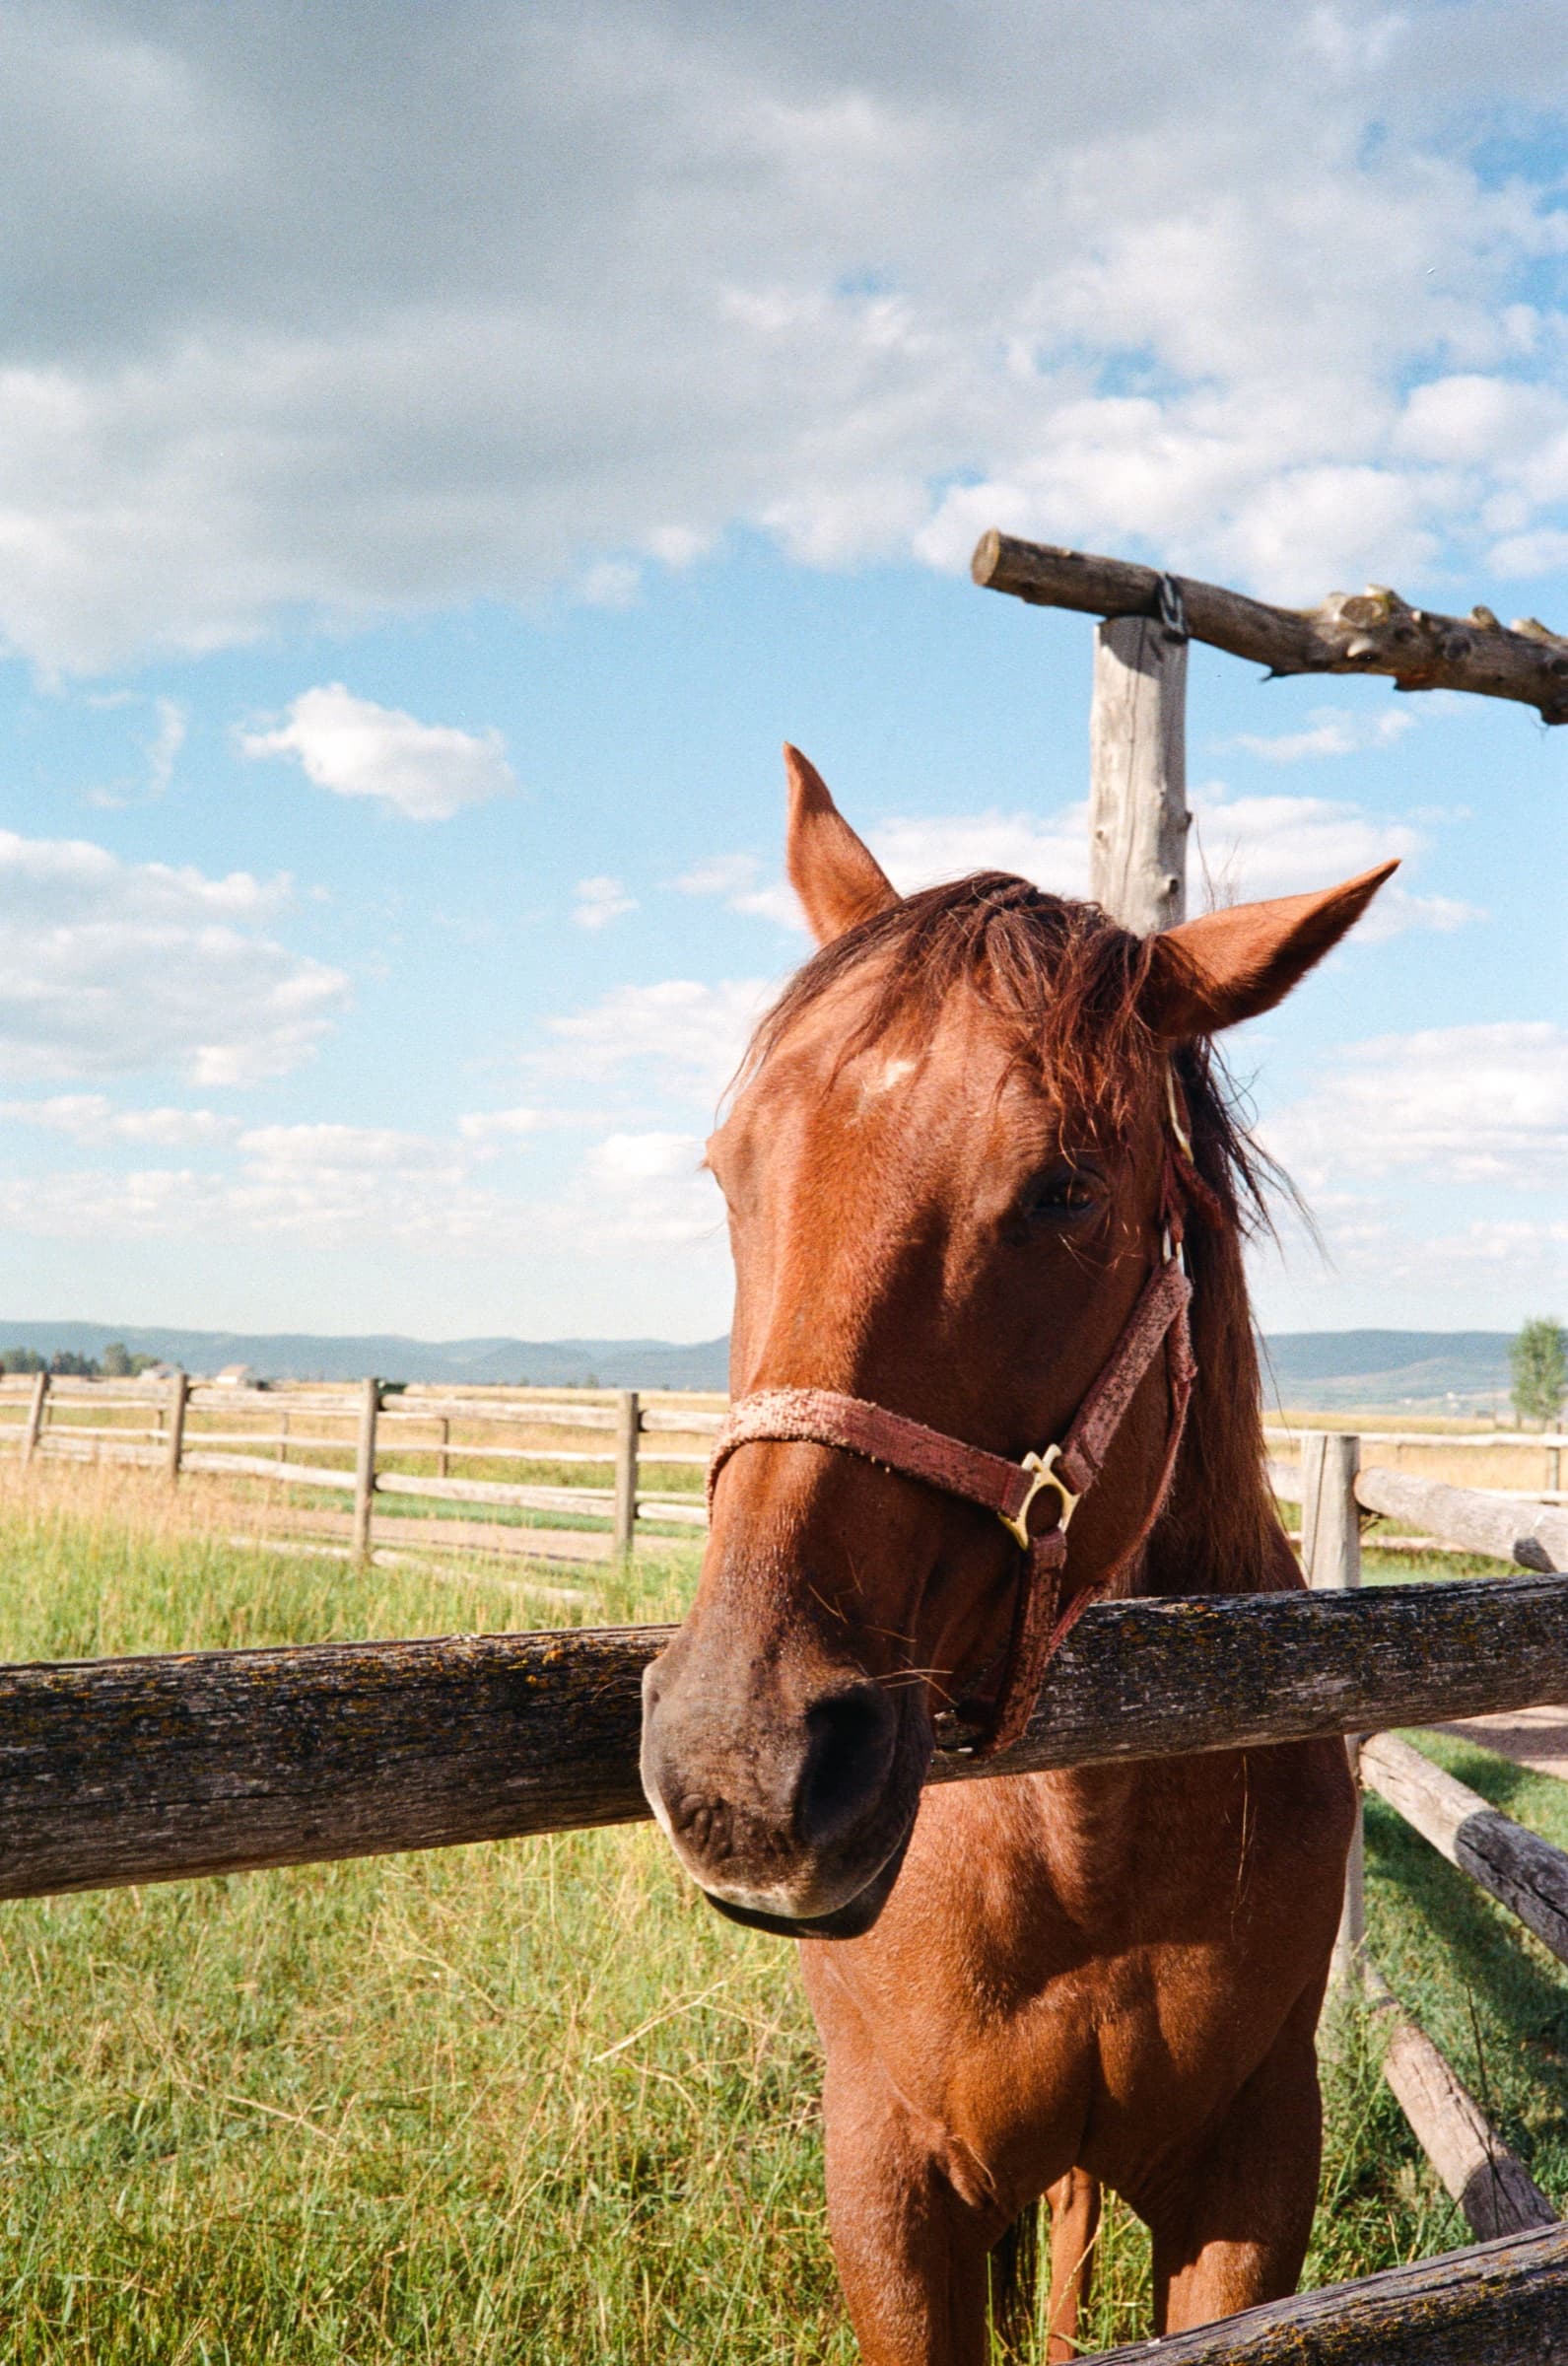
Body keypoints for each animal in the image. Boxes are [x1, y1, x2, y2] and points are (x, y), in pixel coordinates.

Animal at [640, 746, 1393, 2363]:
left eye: (1066, 1191)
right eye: (732, 1170)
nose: (742, 1764)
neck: (1091, 1833)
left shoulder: (1251, 2176)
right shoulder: (891, 2189)